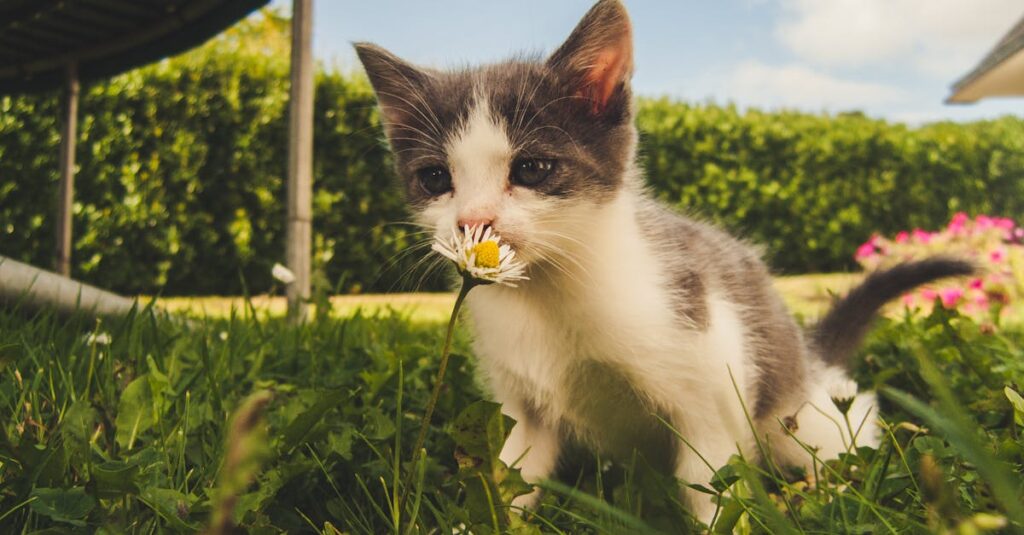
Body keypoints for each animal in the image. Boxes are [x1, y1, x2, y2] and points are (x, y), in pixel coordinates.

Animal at [356, 0, 970, 522]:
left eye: (531, 169)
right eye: (435, 178)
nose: (473, 221)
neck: (550, 292)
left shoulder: (711, 382)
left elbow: (711, 487)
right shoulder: (522, 407)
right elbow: (514, 475)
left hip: (800, 413)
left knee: (843, 428)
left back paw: (828, 490)